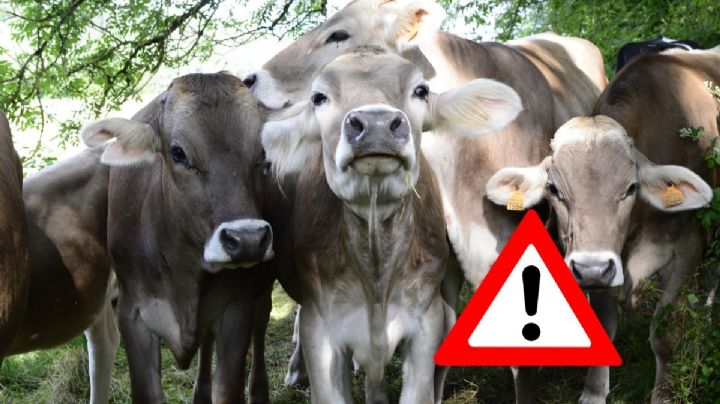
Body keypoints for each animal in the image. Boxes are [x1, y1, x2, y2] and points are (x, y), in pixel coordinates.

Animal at [81, 72, 275, 403]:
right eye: (178, 153)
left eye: (262, 152)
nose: (247, 239)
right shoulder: (133, 315)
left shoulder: (237, 307)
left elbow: (228, 390)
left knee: (260, 323)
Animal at [486, 46, 720, 403]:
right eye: (554, 189)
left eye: (631, 188)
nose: (592, 268)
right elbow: (603, 326)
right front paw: (594, 392)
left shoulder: (687, 248)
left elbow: (665, 333)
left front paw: (664, 395)